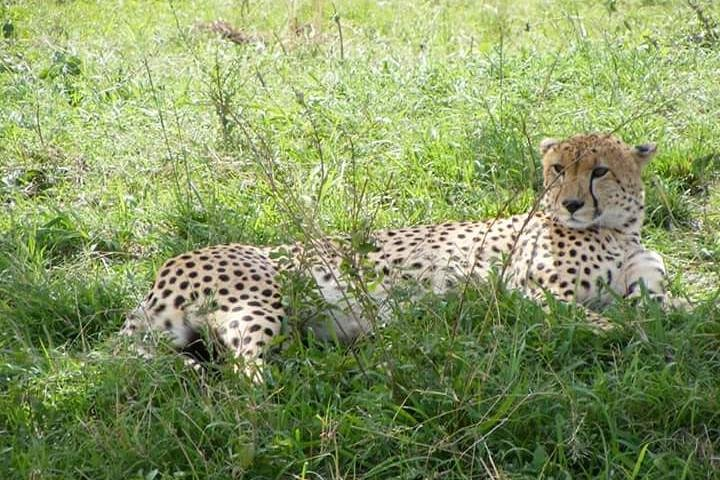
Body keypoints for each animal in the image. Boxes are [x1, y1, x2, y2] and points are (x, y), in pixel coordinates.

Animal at [120, 133, 673, 378]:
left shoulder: (640, 272)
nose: (571, 203)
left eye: (599, 170)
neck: (616, 229)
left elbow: (659, 302)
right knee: (242, 371)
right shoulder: (531, 291)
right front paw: (639, 336)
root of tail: (163, 272)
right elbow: (606, 322)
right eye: (558, 168)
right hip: (263, 299)